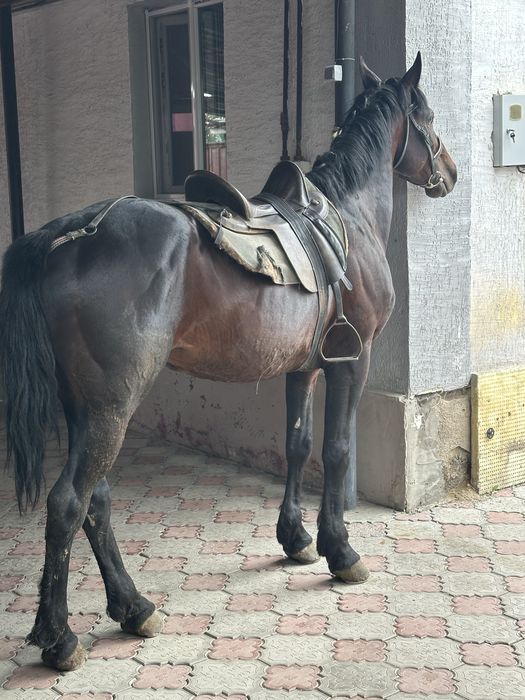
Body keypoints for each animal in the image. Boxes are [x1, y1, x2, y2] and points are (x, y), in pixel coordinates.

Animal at [0, 53, 456, 671]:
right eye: (427, 116)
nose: (450, 173)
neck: (348, 219)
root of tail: (65, 236)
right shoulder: (350, 363)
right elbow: (337, 450)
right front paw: (340, 550)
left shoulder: (303, 367)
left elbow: (297, 445)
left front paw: (296, 540)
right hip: (111, 407)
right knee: (69, 503)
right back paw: (59, 635)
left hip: (87, 410)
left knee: (97, 500)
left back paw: (133, 607)